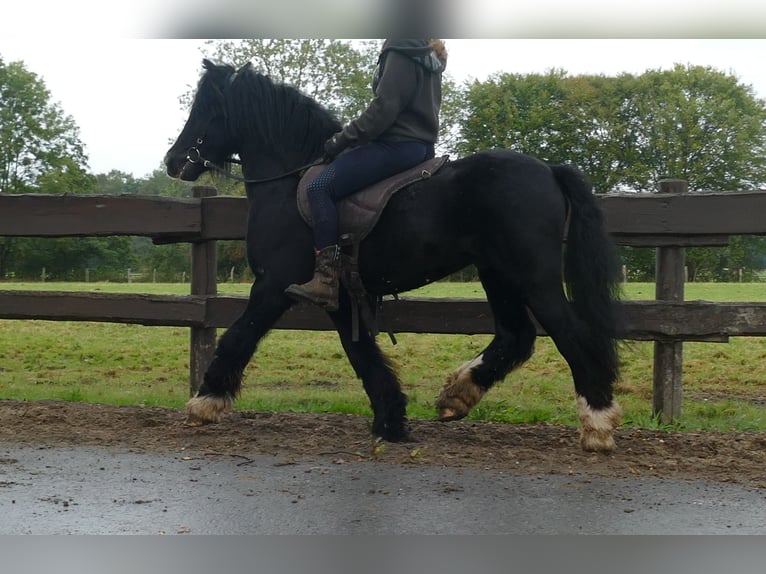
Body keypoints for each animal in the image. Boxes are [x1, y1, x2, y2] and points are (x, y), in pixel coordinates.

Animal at [165, 59, 628, 454]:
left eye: (206, 109)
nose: (173, 161)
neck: (291, 180)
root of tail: (549, 169)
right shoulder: (339, 297)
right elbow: (363, 354)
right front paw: (391, 420)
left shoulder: (274, 284)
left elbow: (238, 336)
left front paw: (204, 403)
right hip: (498, 273)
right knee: (516, 336)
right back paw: (457, 395)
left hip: (533, 277)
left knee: (571, 334)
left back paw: (597, 424)